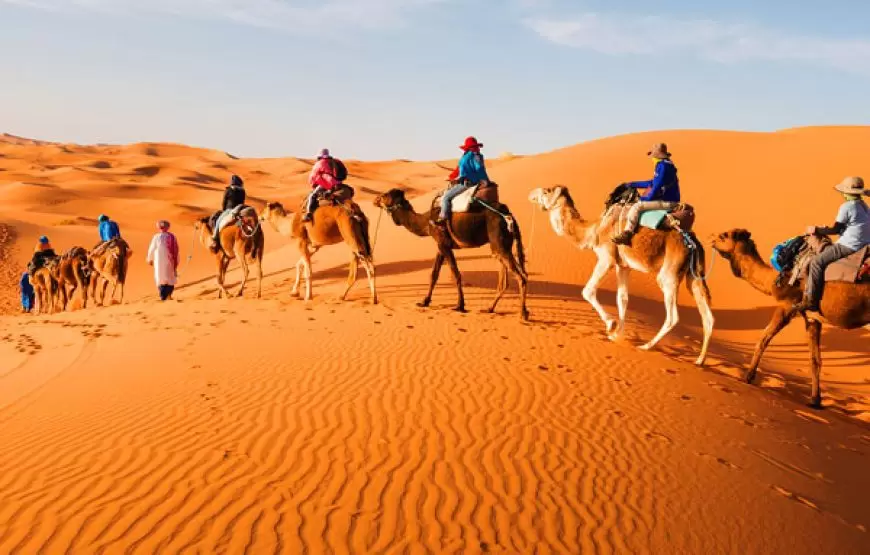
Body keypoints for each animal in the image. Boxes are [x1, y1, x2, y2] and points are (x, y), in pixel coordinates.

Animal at [372, 187, 528, 320]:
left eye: (385, 195)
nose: (375, 200)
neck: (426, 221)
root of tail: (509, 215)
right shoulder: (440, 246)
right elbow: (434, 274)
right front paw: (424, 301)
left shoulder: (444, 244)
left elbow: (456, 274)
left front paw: (460, 305)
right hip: (501, 246)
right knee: (506, 279)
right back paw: (490, 308)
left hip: (498, 242)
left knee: (521, 276)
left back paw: (522, 314)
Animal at [528, 187, 712, 364]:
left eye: (547, 191)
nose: (531, 194)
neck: (595, 229)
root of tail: (692, 243)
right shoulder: (623, 266)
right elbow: (622, 299)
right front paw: (618, 335)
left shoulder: (606, 259)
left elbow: (587, 291)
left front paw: (611, 325)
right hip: (693, 276)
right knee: (707, 316)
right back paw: (700, 360)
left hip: (669, 274)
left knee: (673, 315)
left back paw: (646, 346)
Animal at [712, 227, 868, 408]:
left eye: (723, 235)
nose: (711, 239)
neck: (773, 279)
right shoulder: (812, 318)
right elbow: (815, 360)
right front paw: (815, 400)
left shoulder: (787, 306)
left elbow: (763, 339)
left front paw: (748, 377)